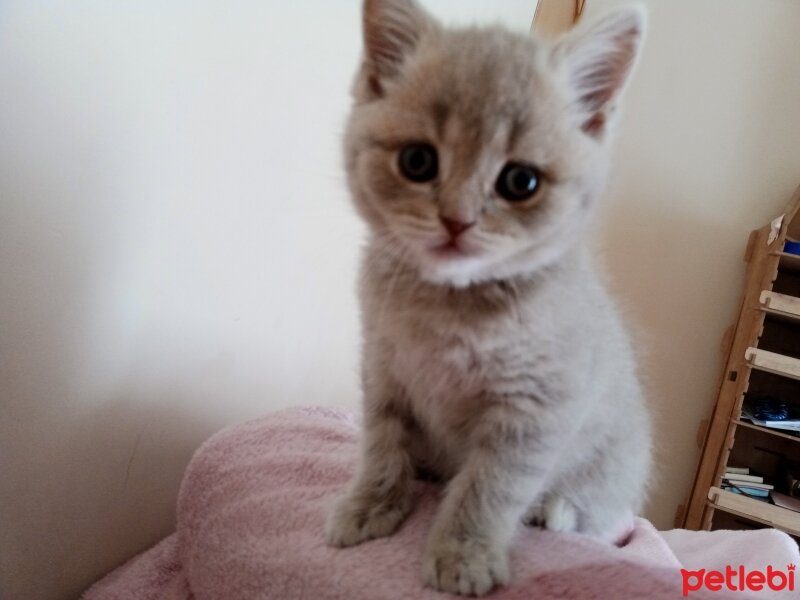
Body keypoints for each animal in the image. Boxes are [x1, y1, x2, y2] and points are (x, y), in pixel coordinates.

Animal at [324, 0, 648, 596]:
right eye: (418, 162)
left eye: (521, 181)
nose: (456, 220)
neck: (449, 307)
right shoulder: (383, 368)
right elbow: (381, 444)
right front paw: (371, 505)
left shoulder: (536, 409)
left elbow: (489, 486)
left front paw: (464, 555)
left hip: (612, 461)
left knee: (605, 513)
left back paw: (557, 509)